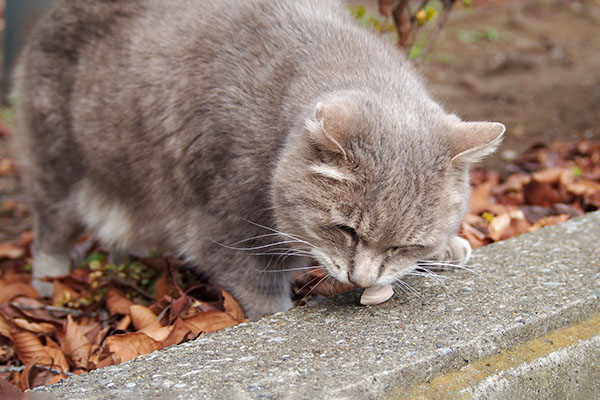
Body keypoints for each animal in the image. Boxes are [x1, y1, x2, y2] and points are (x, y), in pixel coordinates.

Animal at [11, 0, 504, 318]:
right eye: (345, 230)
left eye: (404, 245)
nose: (362, 280)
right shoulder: (227, 230)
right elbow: (260, 289)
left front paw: (447, 249)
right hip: (57, 164)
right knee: (50, 232)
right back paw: (47, 286)